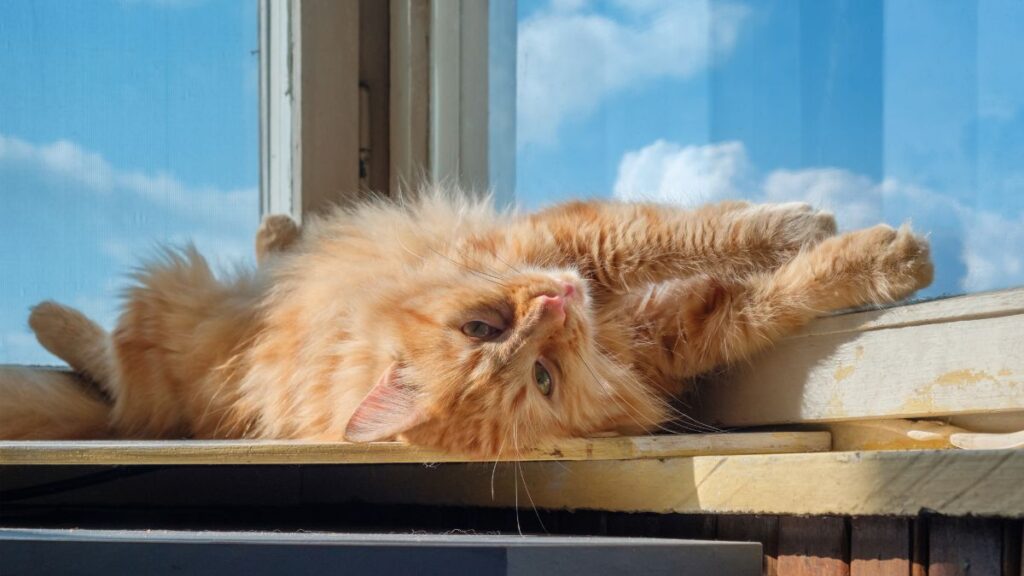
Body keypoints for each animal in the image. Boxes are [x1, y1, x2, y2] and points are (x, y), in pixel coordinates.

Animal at [0, 189, 937, 453]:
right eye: (541, 376)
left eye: (483, 330)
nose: (554, 306)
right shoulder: (668, 309)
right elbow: (749, 270)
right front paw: (878, 251)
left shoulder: (590, 251)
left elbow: (736, 250)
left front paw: (848, 245)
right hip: (169, 309)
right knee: (115, 372)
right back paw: (47, 316)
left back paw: (282, 231)